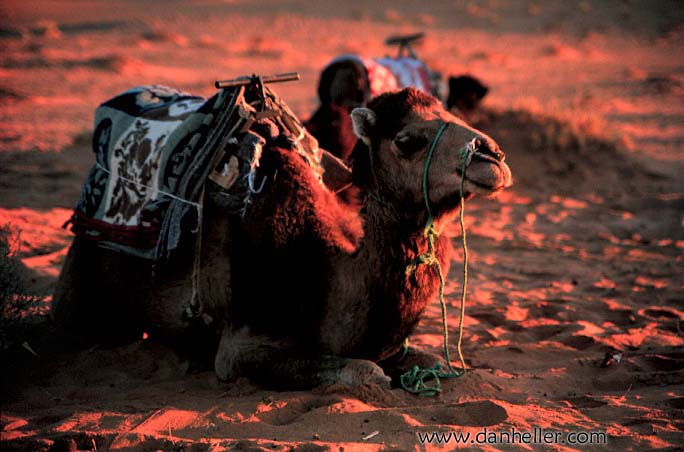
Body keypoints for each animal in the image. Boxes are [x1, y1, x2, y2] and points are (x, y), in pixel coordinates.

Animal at [52, 87, 511, 389]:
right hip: (80, 284)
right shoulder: (241, 348)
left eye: (454, 114)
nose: (491, 157)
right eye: (406, 140)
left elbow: (437, 364)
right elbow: (365, 370)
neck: (327, 272)